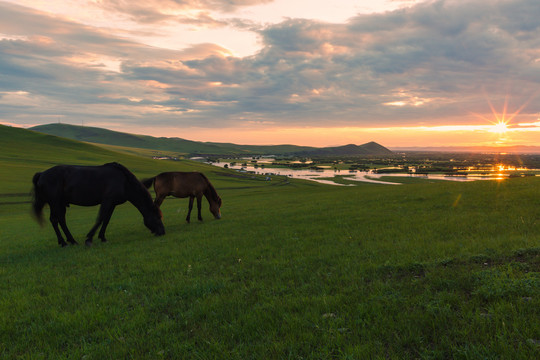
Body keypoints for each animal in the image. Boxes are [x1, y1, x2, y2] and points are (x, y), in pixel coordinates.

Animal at [31, 162, 165, 246]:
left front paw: (102, 237)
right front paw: (89, 238)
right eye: (157, 217)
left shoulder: (112, 204)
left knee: (61, 220)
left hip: (60, 204)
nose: (162, 232)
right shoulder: (107, 201)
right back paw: (64, 243)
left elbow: (106, 220)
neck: (124, 182)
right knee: (54, 220)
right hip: (54, 203)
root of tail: (42, 174)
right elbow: (100, 218)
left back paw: (71, 241)